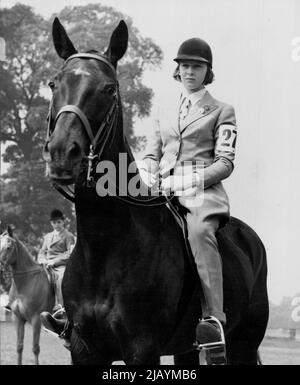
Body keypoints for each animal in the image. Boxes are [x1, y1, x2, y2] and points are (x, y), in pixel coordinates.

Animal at [42, 18, 270, 364]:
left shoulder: (142, 349)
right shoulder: (84, 350)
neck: (105, 245)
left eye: (109, 89)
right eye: (54, 84)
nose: (61, 154)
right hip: (187, 349)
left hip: (243, 343)